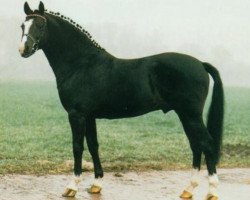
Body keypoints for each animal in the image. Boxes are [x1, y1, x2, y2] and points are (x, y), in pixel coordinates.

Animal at [18, 1, 224, 200]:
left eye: (40, 25)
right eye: (22, 25)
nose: (23, 49)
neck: (81, 64)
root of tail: (201, 64)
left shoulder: (77, 115)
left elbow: (77, 147)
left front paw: (71, 187)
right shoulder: (89, 116)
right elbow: (93, 146)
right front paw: (96, 184)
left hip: (191, 115)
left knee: (206, 144)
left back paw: (212, 191)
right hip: (185, 115)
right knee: (196, 145)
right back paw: (188, 189)